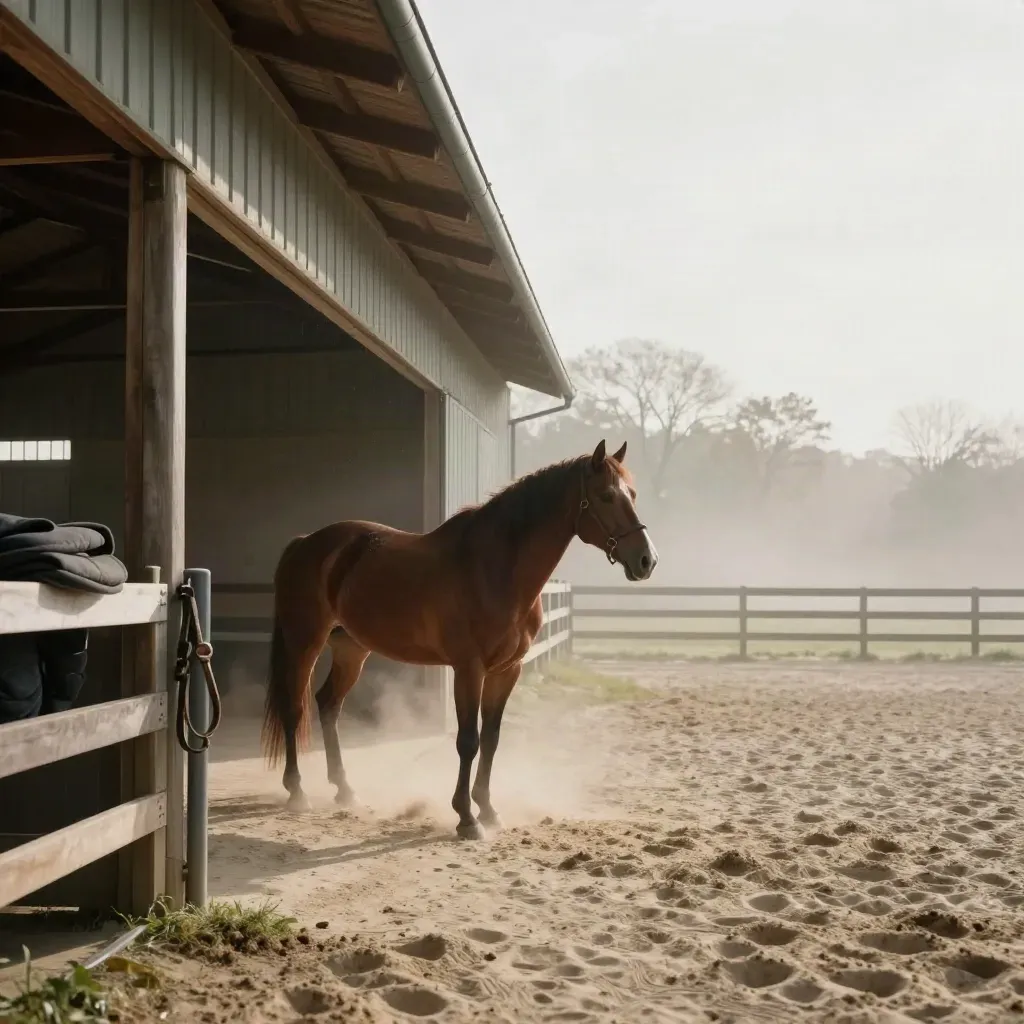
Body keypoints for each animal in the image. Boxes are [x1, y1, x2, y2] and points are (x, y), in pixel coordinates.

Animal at [261, 439, 659, 838]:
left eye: (633, 494)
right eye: (606, 496)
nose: (647, 560)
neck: (494, 569)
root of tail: (305, 542)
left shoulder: (507, 671)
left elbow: (491, 739)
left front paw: (489, 810)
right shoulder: (469, 669)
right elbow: (468, 741)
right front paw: (467, 818)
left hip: (351, 649)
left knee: (328, 704)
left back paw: (345, 789)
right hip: (304, 641)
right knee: (294, 707)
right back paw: (297, 791)